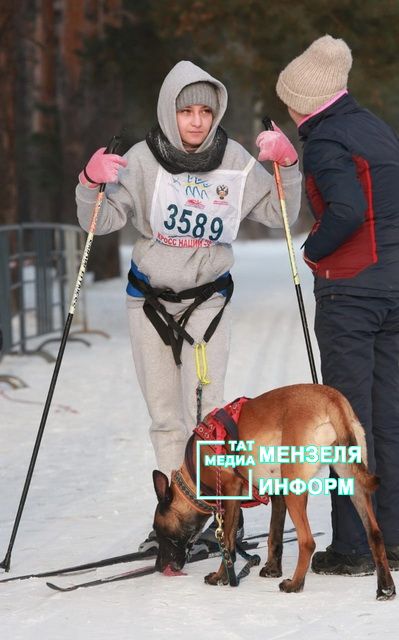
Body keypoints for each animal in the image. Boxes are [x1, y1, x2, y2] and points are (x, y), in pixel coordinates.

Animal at [153, 384, 396, 600]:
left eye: (159, 530)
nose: (158, 567)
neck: (195, 472)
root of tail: (331, 398)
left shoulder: (230, 493)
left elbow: (228, 543)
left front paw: (221, 577)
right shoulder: (275, 493)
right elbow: (274, 535)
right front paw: (272, 569)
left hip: (295, 486)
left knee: (307, 541)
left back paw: (295, 584)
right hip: (350, 479)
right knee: (374, 534)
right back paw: (385, 588)